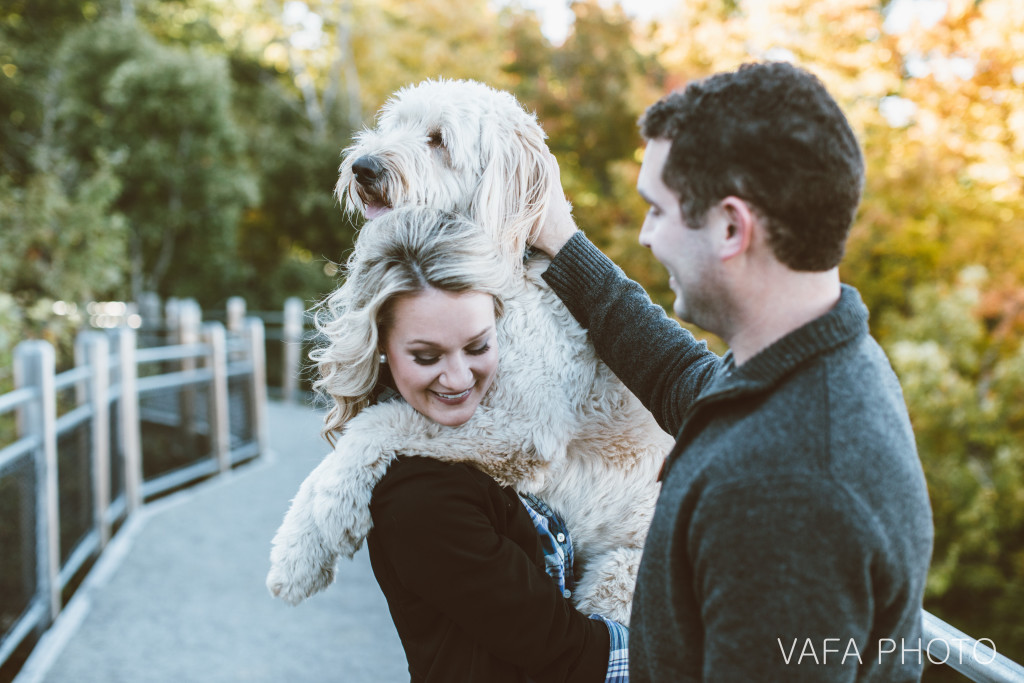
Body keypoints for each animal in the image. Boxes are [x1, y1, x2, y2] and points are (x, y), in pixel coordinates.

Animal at [268, 78, 675, 626]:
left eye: (438, 140)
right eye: (393, 124)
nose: (363, 167)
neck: (498, 271)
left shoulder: (522, 428)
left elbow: (377, 424)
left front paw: (332, 508)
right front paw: (296, 553)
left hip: (618, 580)